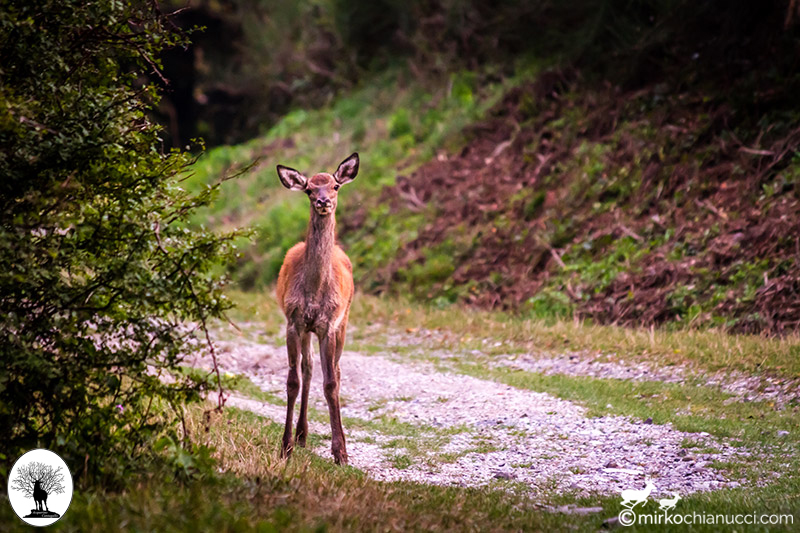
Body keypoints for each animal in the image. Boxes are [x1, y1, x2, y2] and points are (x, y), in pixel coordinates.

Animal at [276, 152, 360, 464]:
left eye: (335, 186)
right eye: (309, 189)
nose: (323, 201)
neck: (314, 292)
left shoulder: (329, 325)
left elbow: (331, 383)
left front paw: (340, 453)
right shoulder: (294, 321)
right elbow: (293, 381)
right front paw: (285, 447)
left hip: (344, 320)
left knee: (335, 370)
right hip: (306, 330)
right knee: (308, 368)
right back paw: (301, 434)